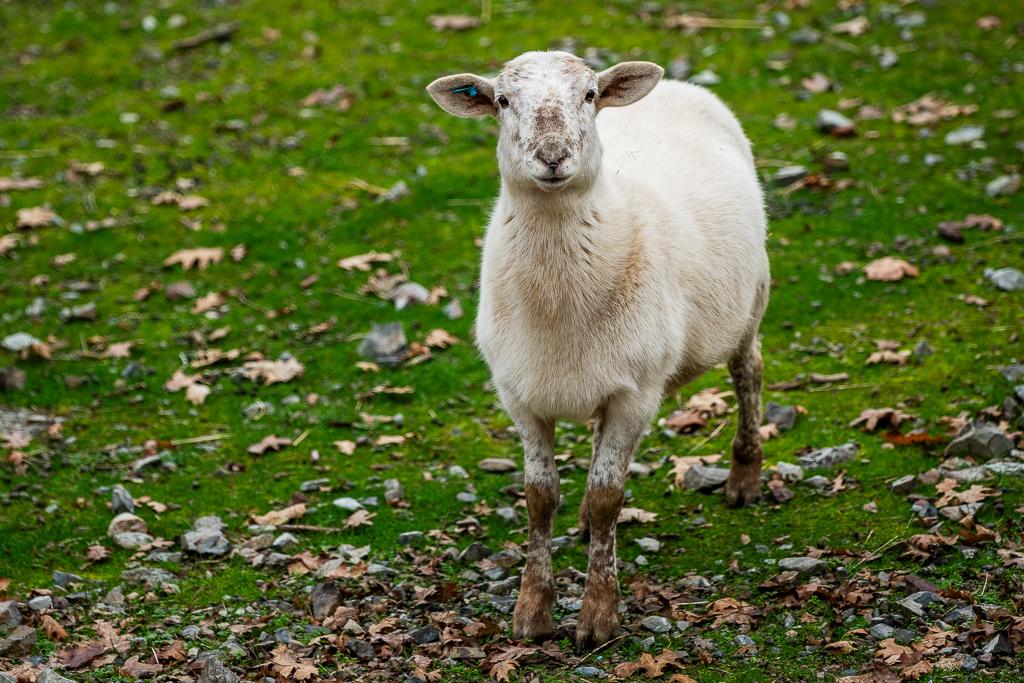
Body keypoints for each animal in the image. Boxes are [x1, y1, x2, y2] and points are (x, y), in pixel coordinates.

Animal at [427, 50, 769, 649]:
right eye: (501, 101)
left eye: (588, 95)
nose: (552, 157)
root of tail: (678, 87)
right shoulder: (521, 395)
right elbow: (540, 498)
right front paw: (532, 612)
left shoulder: (637, 394)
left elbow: (611, 496)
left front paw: (599, 616)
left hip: (750, 301)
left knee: (747, 372)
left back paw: (744, 477)